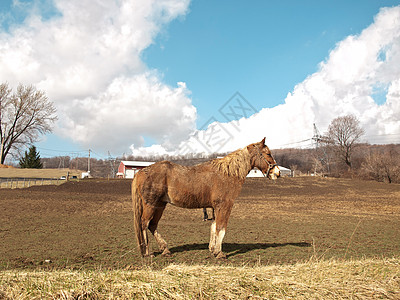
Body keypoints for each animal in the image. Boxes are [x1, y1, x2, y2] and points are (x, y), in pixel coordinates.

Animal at [133, 138, 280, 258]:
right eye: (268, 153)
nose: (277, 173)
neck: (227, 173)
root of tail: (140, 172)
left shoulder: (215, 207)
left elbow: (214, 227)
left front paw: (213, 249)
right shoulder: (224, 206)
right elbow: (221, 228)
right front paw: (219, 253)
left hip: (160, 206)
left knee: (152, 225)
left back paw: (165, 250)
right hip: (151, 205)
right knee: (144, 224)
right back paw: (147, 253)